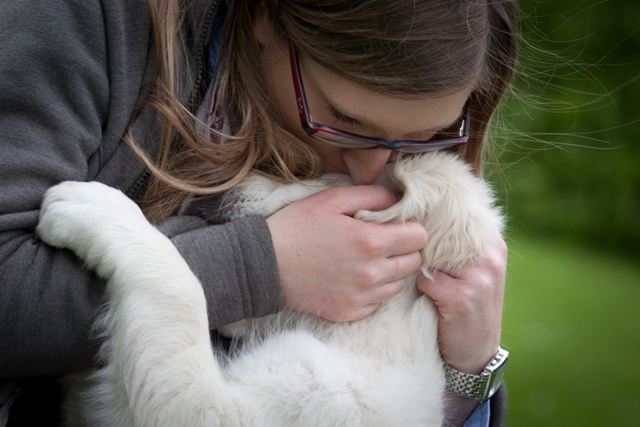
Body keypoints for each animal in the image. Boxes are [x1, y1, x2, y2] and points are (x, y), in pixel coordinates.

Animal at [37, 152, 504, 426]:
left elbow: (181, 288)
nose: (215, 188)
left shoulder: (221, 412)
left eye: (317, 177)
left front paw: (93, 207)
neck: (371, 329)